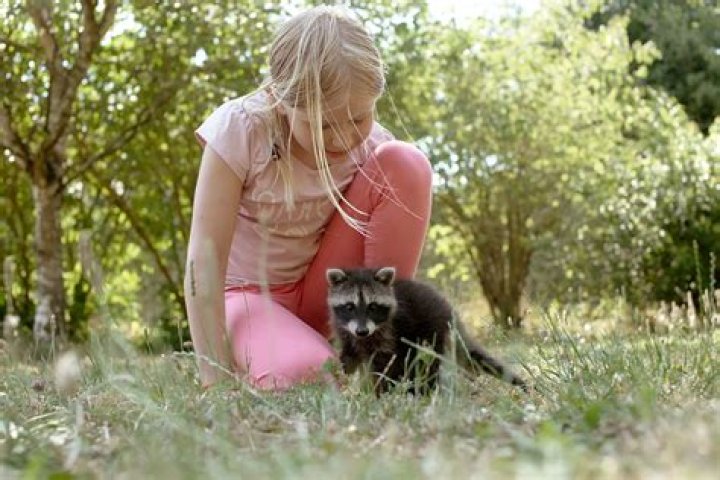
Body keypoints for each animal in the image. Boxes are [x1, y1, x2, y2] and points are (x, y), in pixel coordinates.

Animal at [326, 266, 529, 394]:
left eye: (373, 307)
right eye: (349, 307)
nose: (362, 331)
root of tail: (453, 319)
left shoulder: (392, 332)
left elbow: (387, 365)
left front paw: (380, 392)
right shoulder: (347, 331)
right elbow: (351, 355)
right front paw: (346, 370)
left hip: (433, 333)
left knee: (427, 364)